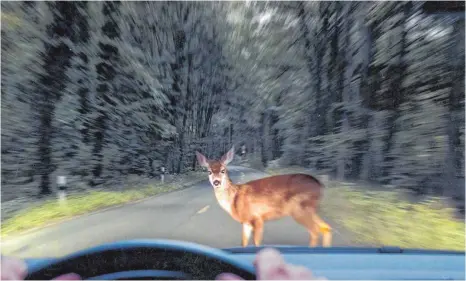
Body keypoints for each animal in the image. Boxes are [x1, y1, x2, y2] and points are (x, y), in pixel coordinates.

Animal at [195, 145, 334, 246]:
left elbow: (257, 243)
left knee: (315, 231)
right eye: (209, 171)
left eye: (223, 170)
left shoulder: (257, 218)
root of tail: (320, 185)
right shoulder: (246, 222)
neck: (234, 200)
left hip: (299, 209)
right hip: (310, 209)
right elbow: (243, 243)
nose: (216, 182)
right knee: (326, 228)